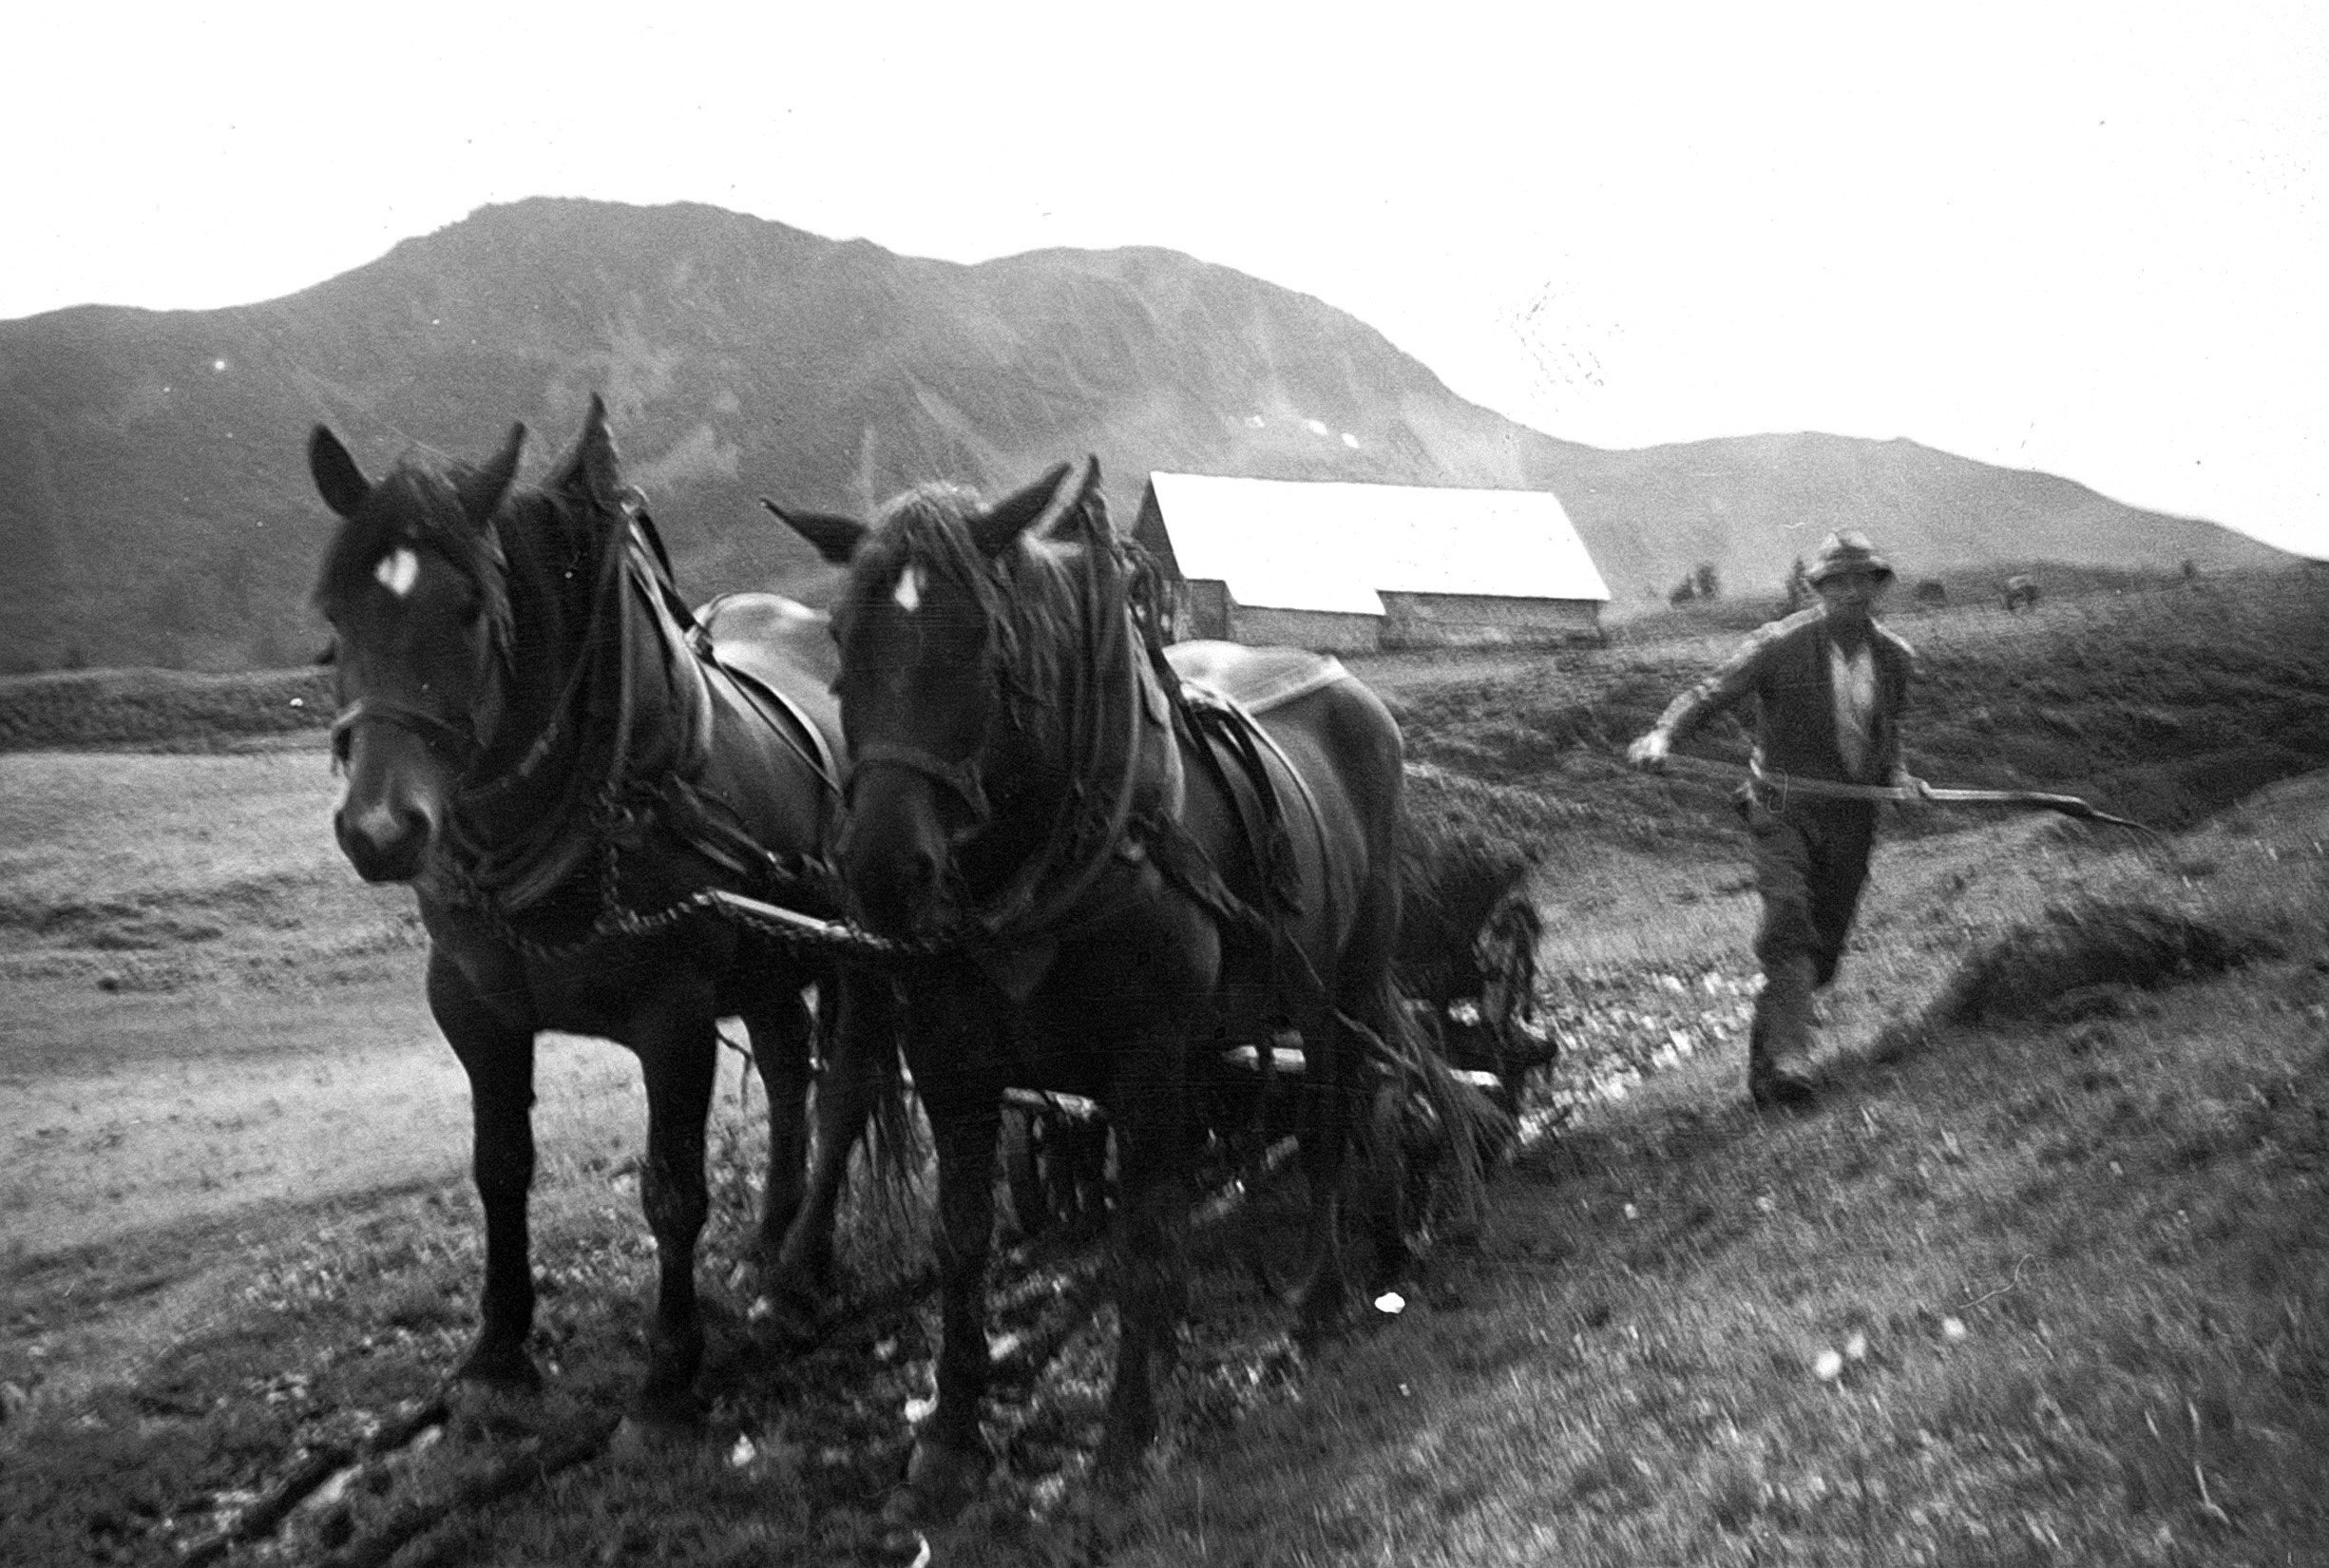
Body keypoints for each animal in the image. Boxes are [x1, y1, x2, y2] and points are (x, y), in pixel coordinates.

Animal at [308, 397, 896, 1429]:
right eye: (335, 616)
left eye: (470, 609)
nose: (379, 829)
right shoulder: (475, 1011)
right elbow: (500, 1168)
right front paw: (497, 1352)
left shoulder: (674, 1017)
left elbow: (672, 1192)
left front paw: (667, 1378)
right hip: (767, 967)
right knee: (791, 1076)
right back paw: (770, 1238)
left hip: (853, 952)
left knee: (843, 1093)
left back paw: (802, 1268)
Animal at [768, 458, 1491, 1519]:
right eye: (838, 634)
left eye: (983, 636)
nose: (883, 871)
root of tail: (1356, 694)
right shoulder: (952, 1064)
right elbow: (963, 1243)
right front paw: (948, 1438)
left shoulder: (1146, 1065)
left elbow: (1139, 1242)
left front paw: (1126, 1434)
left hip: (1343, 983)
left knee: (1337, 1120)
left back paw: (1325, 1297)